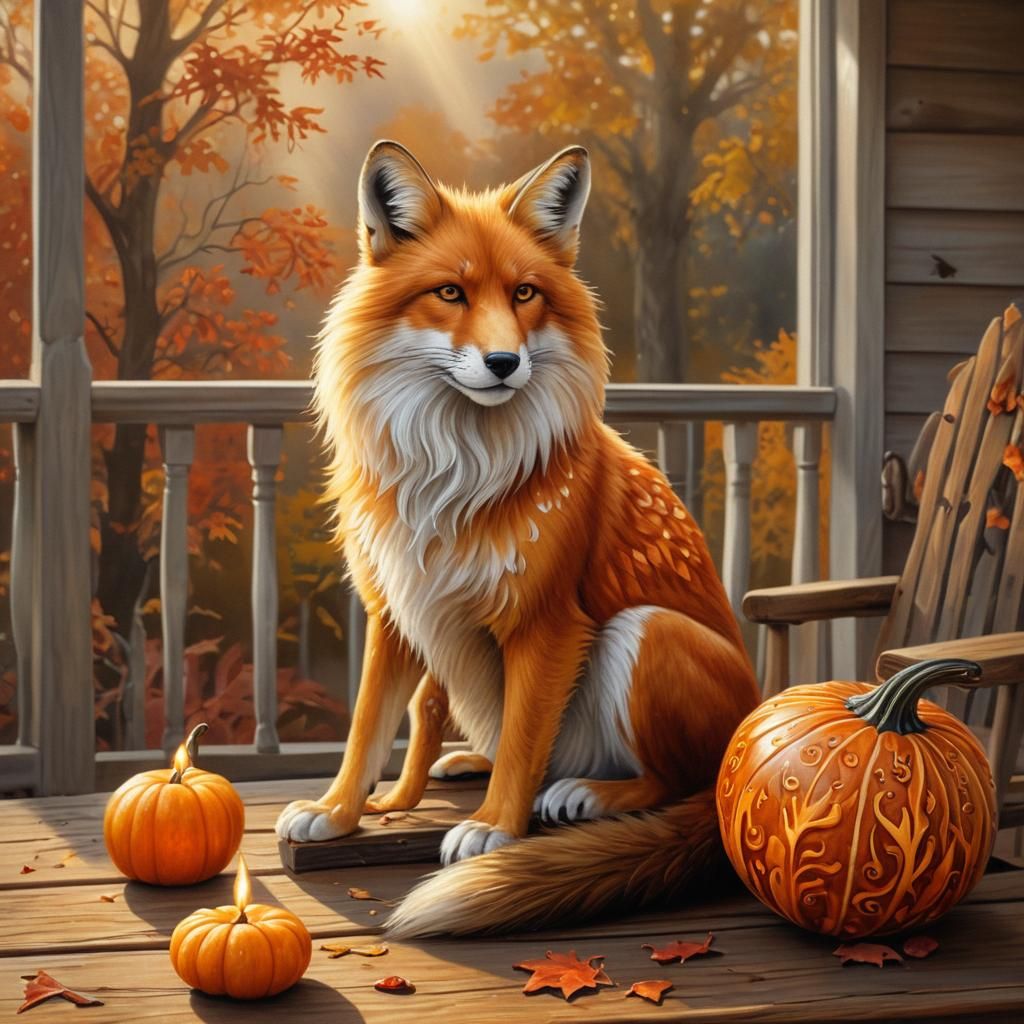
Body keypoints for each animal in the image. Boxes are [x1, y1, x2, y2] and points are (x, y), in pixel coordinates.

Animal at [275, 140, 760, 937]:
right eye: (450, 293)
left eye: (525, 294)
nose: (504, 363)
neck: (454, 478)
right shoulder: (395, 611)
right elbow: (368, 727)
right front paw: (337, 812)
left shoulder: (547, 623)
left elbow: (525, 737)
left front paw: (494, 829)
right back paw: (472, 763)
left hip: (644, 632)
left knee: (675, 781)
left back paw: (590, 793)